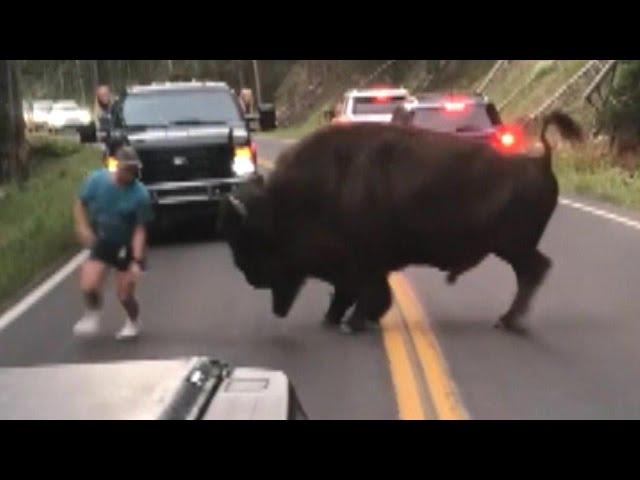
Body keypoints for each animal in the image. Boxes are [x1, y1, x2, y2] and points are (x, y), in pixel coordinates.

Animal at [220, 110, 584, 332]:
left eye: (252, 240)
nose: (249, 275)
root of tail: (540, 162)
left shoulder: (364, 263)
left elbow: (367, 293)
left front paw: (352, 323)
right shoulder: (358, 266)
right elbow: (350, 294)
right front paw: (334, 320)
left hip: (512, 246)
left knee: (533, 271)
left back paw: (506, 321)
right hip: (513, 247)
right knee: (533, 271)